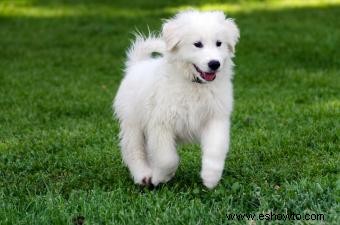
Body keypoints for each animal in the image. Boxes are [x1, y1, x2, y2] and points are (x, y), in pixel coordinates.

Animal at [113, 9, 239, 189]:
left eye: (219, 43)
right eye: (197, 44)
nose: (214, 64)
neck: (194, 84)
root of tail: (136, 65)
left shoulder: (215, 118)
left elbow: (216, 149)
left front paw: (210, 178)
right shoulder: (161, 123)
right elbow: (167, 159)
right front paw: (160, 177)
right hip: (132, 123)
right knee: (134, 150)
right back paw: (143, 175)